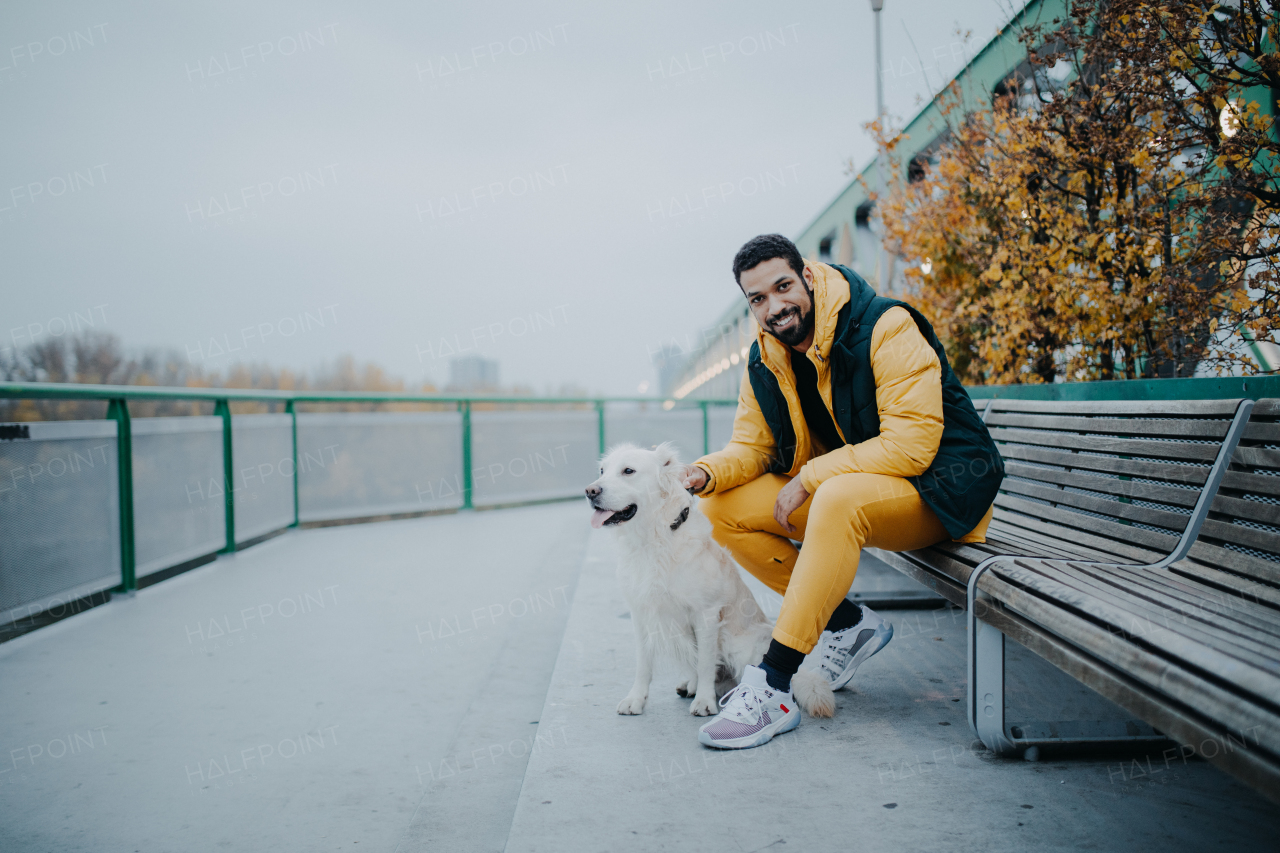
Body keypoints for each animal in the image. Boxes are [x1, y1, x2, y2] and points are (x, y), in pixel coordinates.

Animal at [586, 440, 834, 712]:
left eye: (628, 471)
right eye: (602, 471)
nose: (590, 491)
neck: (656, 539)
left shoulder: (705, 614)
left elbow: (705, 663)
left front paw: (704, 702)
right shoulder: (642, 614)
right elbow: (643, 664)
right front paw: (636, 699)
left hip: (739, 646)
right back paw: (690, 685)